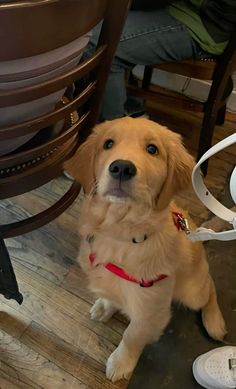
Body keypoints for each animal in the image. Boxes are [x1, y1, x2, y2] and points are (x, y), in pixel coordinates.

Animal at [66, 116, 227, 380]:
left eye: (152, 149)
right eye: (108, 144)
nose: (121, 168)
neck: (121, 235)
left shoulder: (151, 310)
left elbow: (132, 335)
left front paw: (121, 363)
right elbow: (111, 296)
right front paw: (105, 306)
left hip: (193, 292)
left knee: (210, 287)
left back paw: (215, 322)